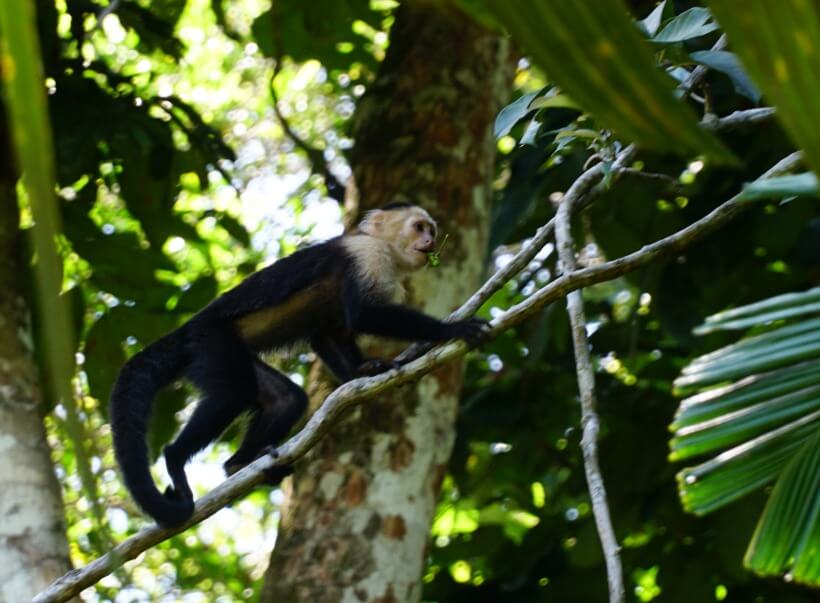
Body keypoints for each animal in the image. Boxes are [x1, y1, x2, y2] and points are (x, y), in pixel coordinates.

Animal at [111, 202, 490, 524]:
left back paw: (239, 463)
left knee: (286, 399)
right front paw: (451, 329)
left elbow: (327, 334)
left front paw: (363, 372)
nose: (430, 240)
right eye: (419, 227)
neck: (381, 246)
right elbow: (364, 314)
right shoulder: (366, 256)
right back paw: (175, 458)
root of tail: (188, 328)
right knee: (232, 393)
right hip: (212, 342)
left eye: (431, 229)